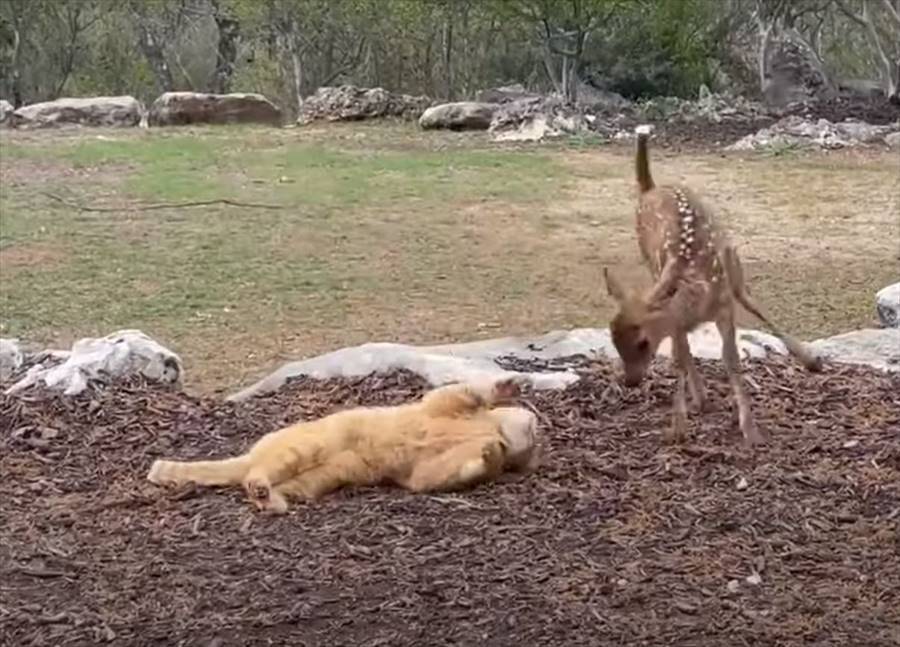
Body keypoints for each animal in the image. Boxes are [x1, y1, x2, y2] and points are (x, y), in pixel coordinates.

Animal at [147, 378, 540, 512]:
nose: (538, 434)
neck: (489, 428)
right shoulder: (442, 407)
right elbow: (459, 393)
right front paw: (505, 387)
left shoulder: (426, 470)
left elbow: (434, 476)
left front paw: (486, 455)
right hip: (313, 441)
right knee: (264, 469)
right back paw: (260, 486)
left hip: (324, 476)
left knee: (287, 484)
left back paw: (270, 501)